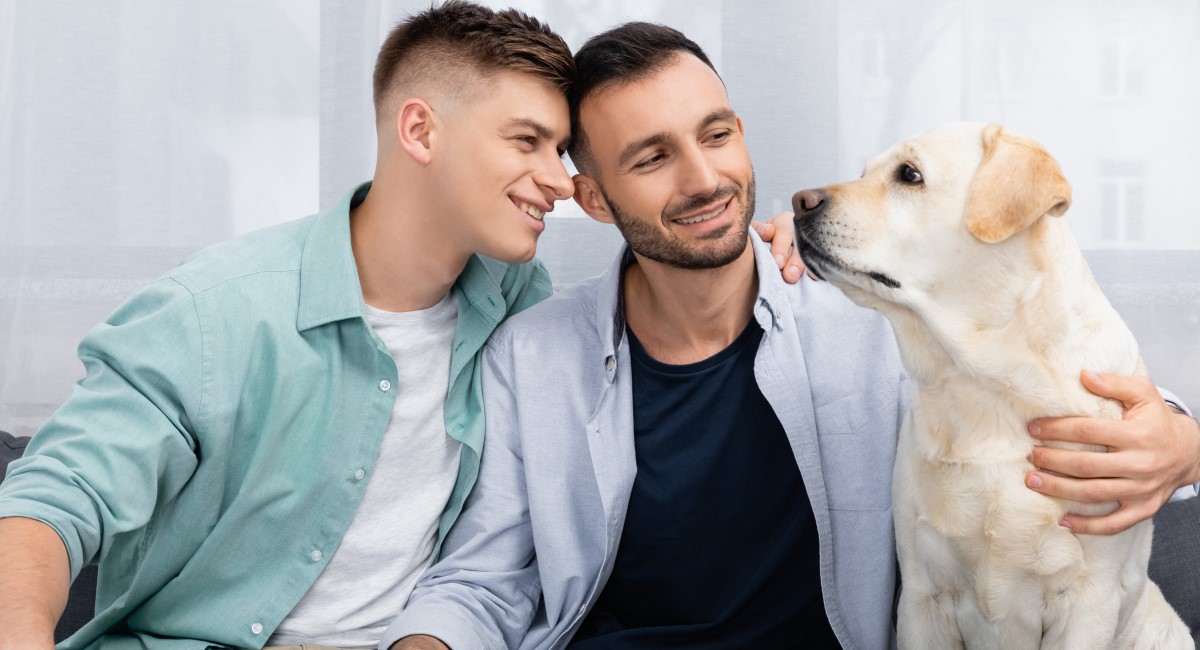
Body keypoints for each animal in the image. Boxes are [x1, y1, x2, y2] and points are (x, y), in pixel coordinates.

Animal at [792, 123, 1195, 650]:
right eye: (864, 172)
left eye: (909, 174)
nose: (798, 202)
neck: (992, 384)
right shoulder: (923, 596)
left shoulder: (1088, 601)